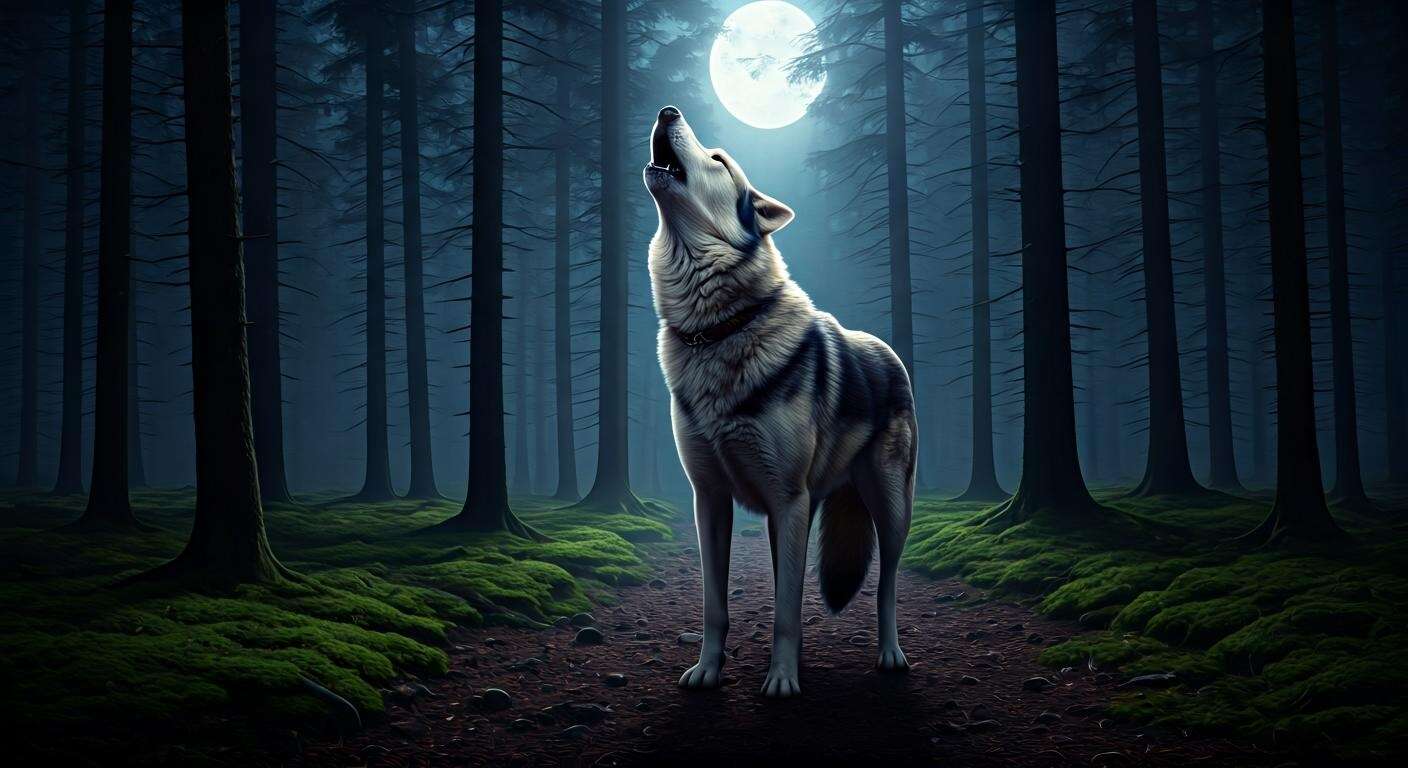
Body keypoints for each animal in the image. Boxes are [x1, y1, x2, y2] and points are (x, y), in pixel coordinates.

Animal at [644, 105, 916, 698]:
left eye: (719, 160)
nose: (667, 111)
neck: (717, 330)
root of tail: (889, 351)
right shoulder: (710, 500)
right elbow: (717, 605)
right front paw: (707, 670)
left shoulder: (786, 501)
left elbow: (788, 609)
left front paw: (782, 682)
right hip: (795, 513)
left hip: (888, 511)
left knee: (886, 586)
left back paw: (890, 655)